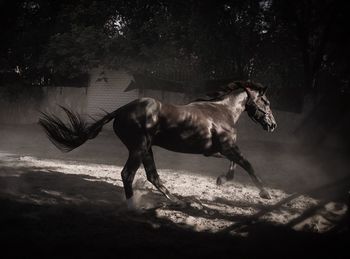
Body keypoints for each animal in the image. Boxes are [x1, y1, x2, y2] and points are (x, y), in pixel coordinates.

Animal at [39, 80, 278, 208]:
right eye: (266, 102)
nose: (273, 125)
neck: (221, 111)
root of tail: (122, 110)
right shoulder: (227, 148)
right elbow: (248, 164)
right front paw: (265, 193)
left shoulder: (218, 150)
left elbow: (235, 164)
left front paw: (221, 180)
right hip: (139, 148)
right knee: (128, 174)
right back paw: (133, 206)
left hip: (146, 149)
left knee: (153, 176)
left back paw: (176, 201)